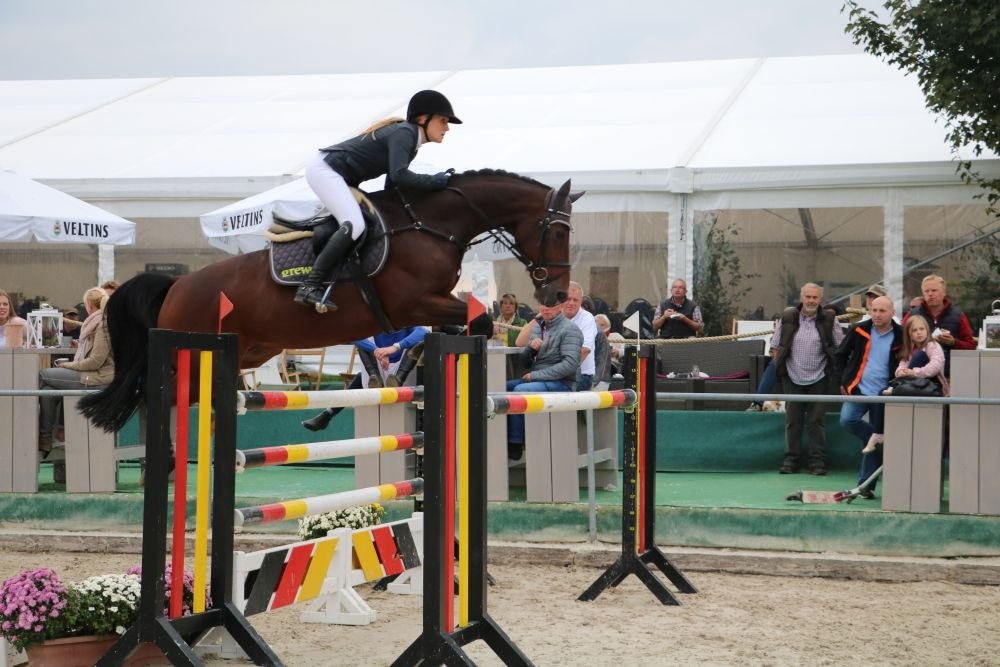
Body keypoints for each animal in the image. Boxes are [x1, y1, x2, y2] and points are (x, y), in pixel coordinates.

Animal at [80, 169, 580, 432]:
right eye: (557, 231)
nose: (556, 294)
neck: (432, 225)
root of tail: (177, 285)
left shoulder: (427, 310)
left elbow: (435, 338)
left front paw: (394, 377)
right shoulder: (416, 303)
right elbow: (475, 324)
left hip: (248, 350)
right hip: (192, 348)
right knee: (159, 398)